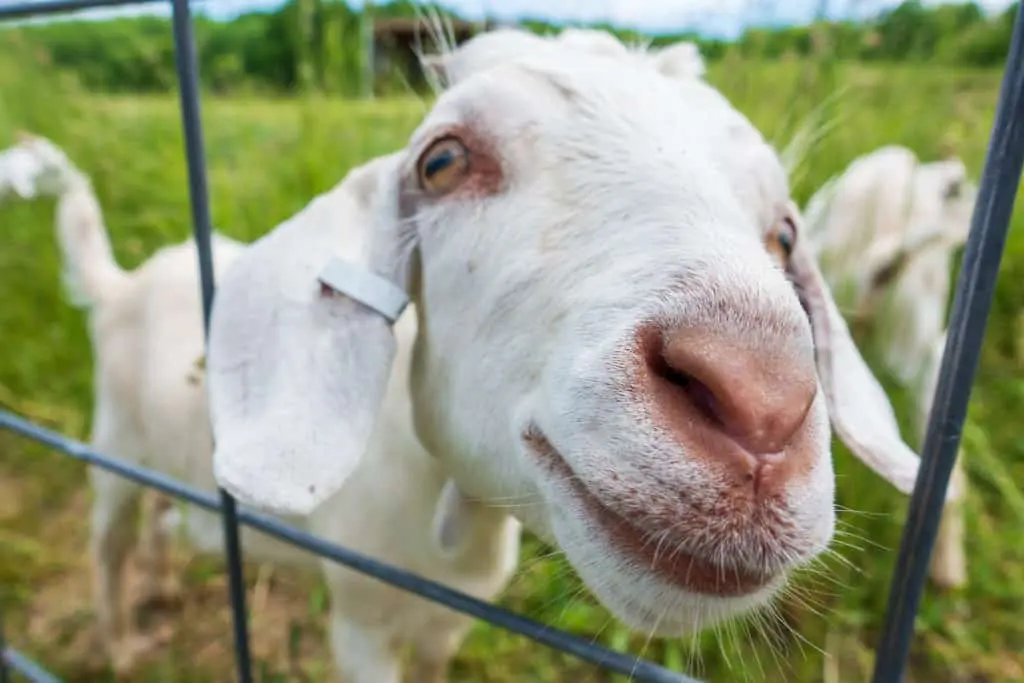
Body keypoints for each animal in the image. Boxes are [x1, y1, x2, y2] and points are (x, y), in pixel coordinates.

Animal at [2, 133, 520, 683]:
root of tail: (122, 286)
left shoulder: (446, 623)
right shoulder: (360, 617)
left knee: (160, 503)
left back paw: (161, 587)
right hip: (115, 436)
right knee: (108, 541)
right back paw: (121, 648)